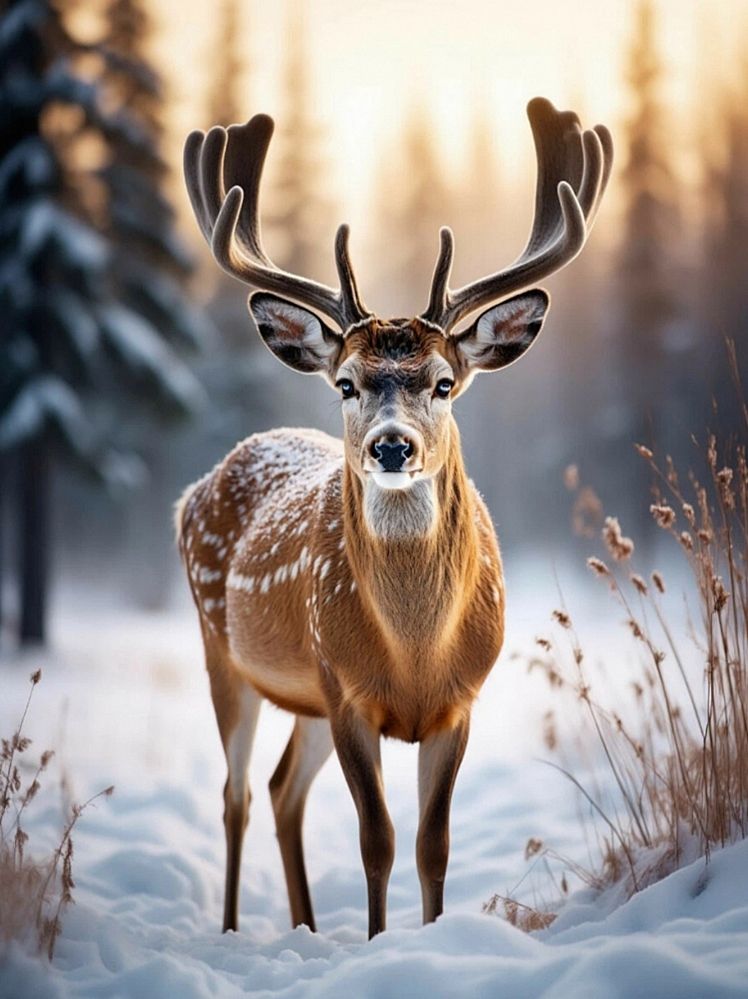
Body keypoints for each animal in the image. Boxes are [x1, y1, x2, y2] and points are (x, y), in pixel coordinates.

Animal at [175, 98, 612, 940]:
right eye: (346, 382)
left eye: (444, 381)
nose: (390, 444)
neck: (414, 651)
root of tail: (195, 489)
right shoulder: (349, 692)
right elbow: (375, 839)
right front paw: (379, 942)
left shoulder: (458, 701)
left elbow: (431, 844)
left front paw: (431, 935)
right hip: (227, 656)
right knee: (237, 794)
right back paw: (234, 928)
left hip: (305, 694)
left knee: (281, 789)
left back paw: (308, 928)